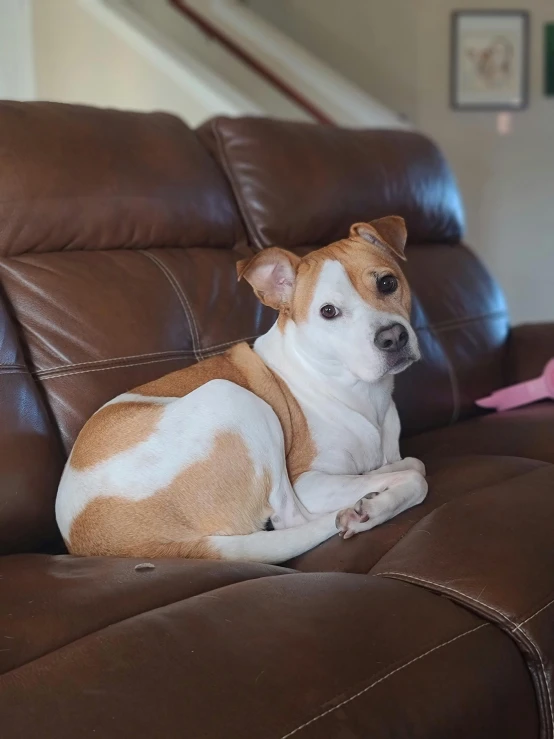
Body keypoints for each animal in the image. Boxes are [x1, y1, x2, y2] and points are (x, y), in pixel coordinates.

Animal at [56, 217, 426, 564]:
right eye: (328, 311)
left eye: (387, 283)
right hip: (234, 399)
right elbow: (417, 480)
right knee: (294, 519)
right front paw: (374, 506)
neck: (358, 392)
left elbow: (409, 466)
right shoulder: (307, 482)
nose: (393, 337)